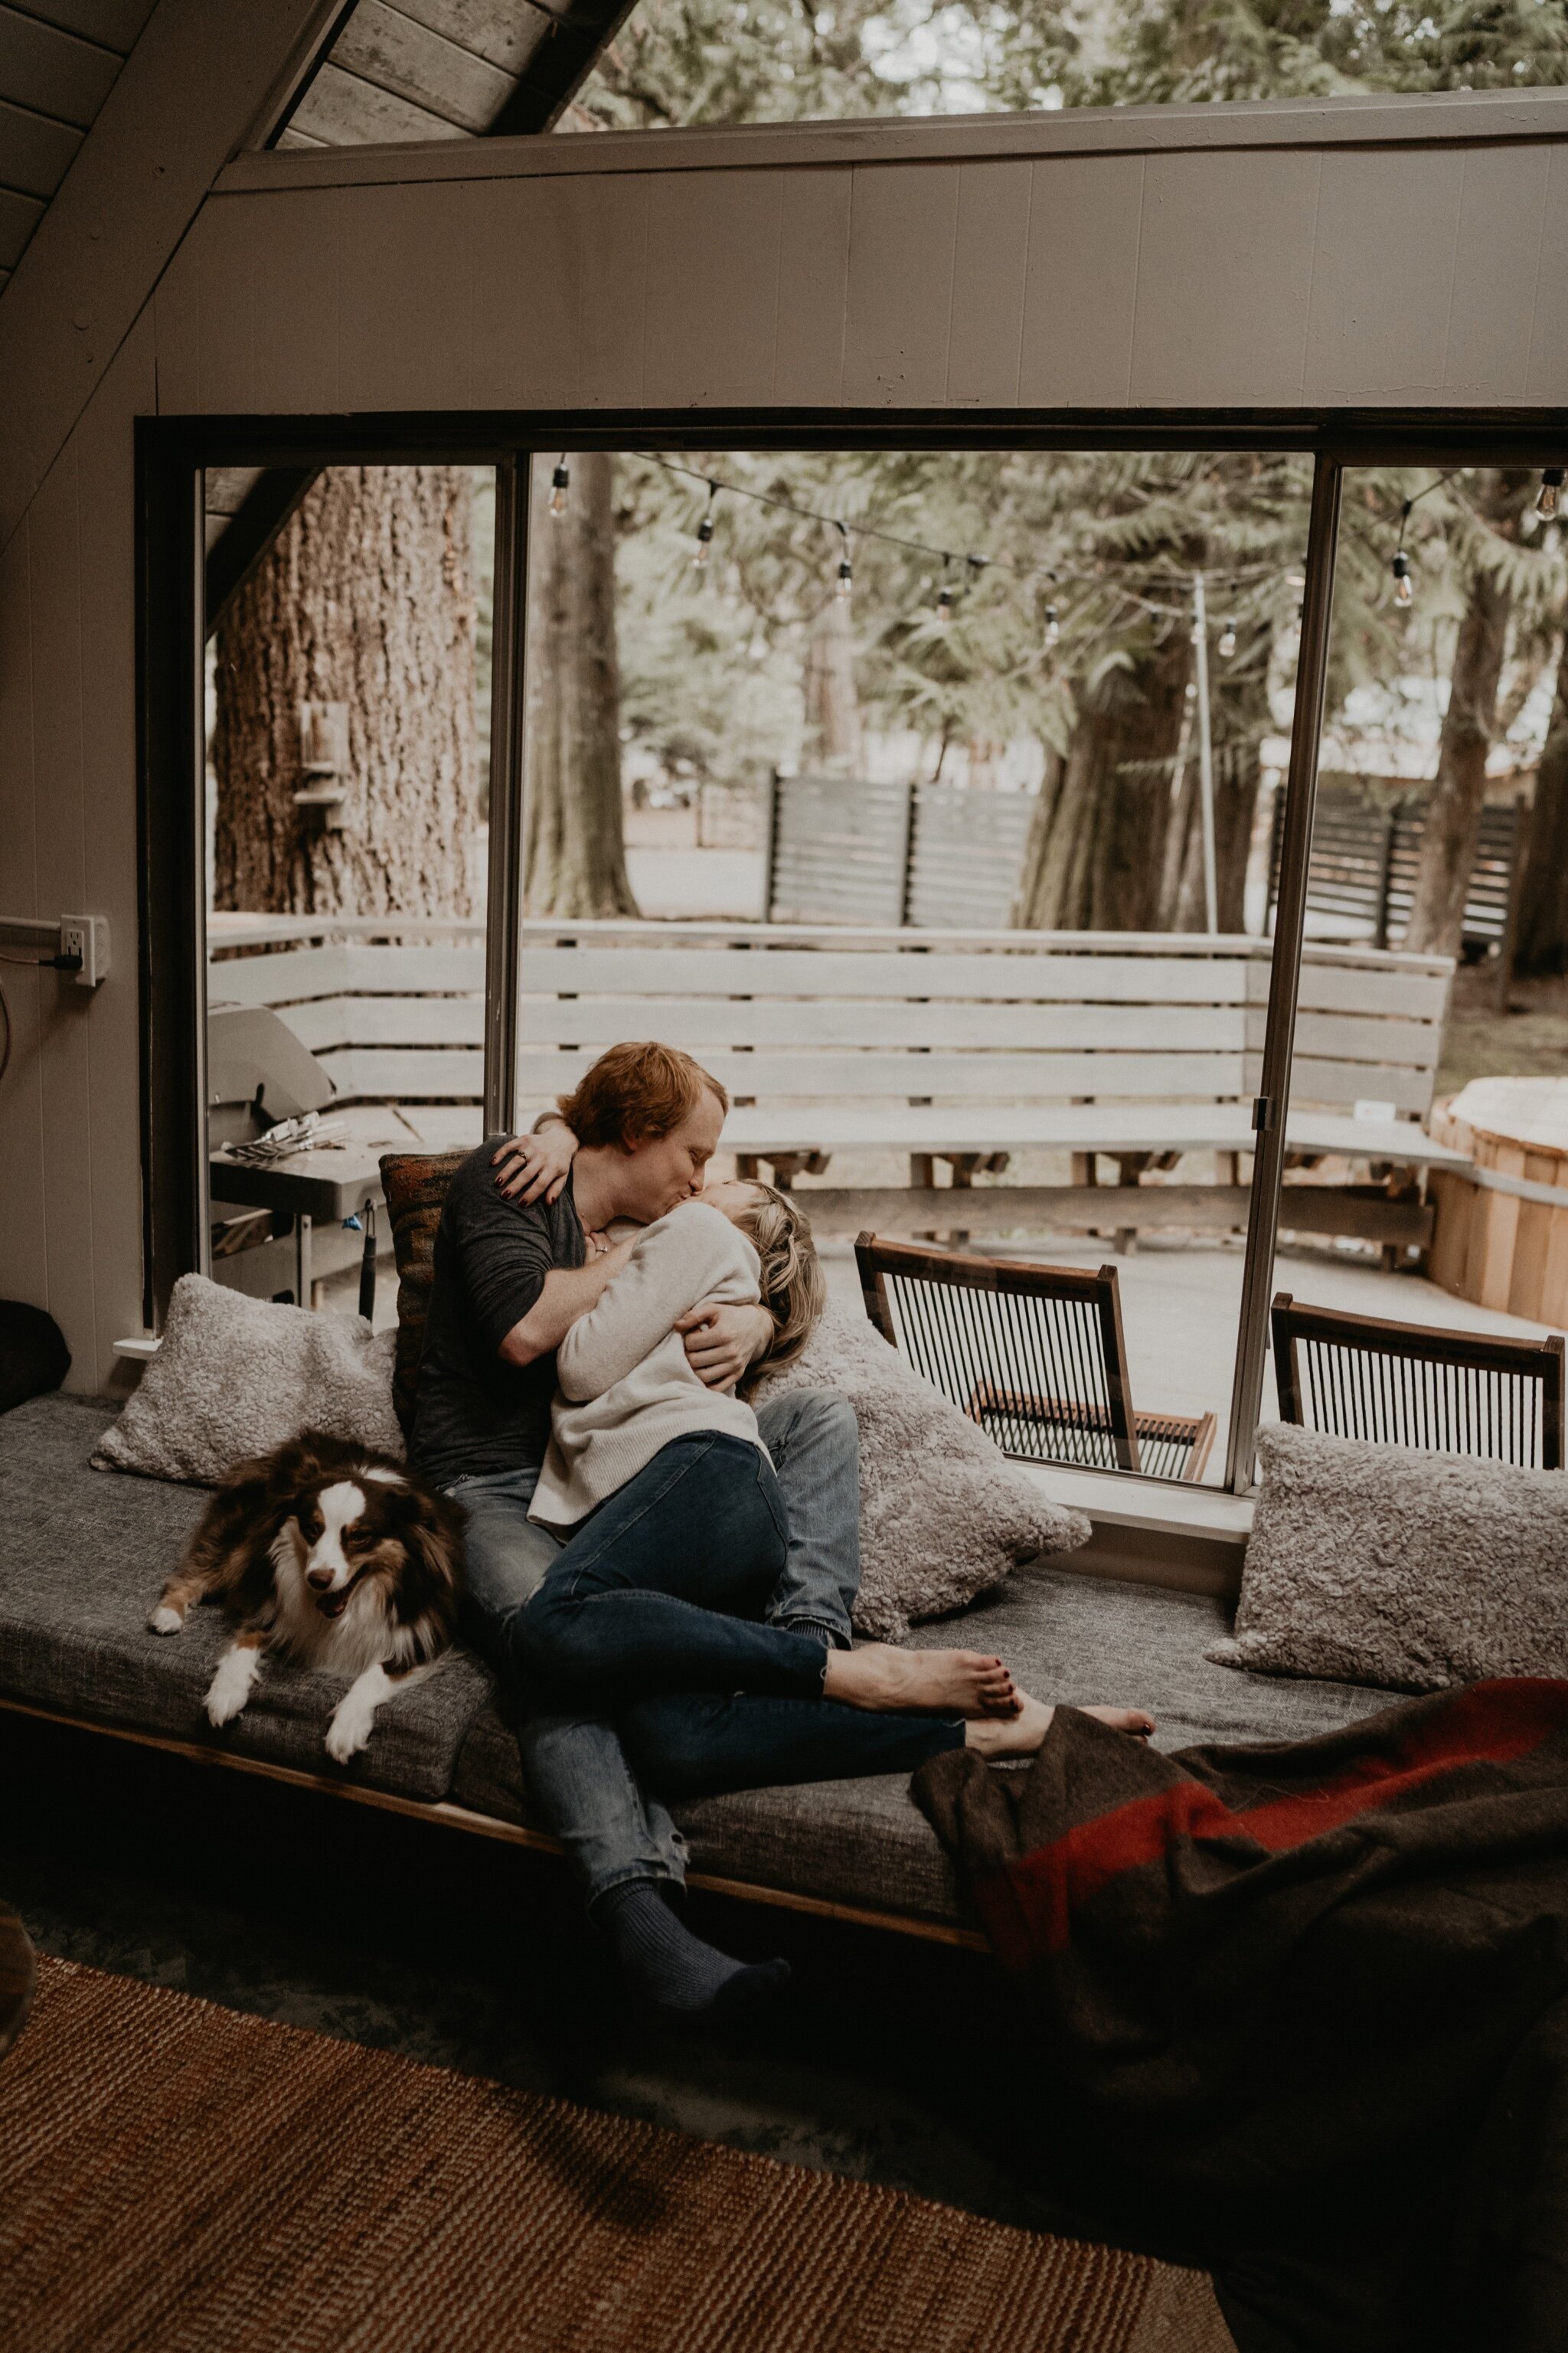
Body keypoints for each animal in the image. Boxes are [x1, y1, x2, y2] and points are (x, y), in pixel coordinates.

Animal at [145, 1430, 463, 1769]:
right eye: (313, 1528)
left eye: (359, 1536)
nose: (318, 1580)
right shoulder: (267, 1593)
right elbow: (247, 1638)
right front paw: (226, 1692)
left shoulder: (422, 1633)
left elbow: (373, 1675)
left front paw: (346, 1729)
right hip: (242, 1535)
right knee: (195, 1571)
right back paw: (168, 1614)